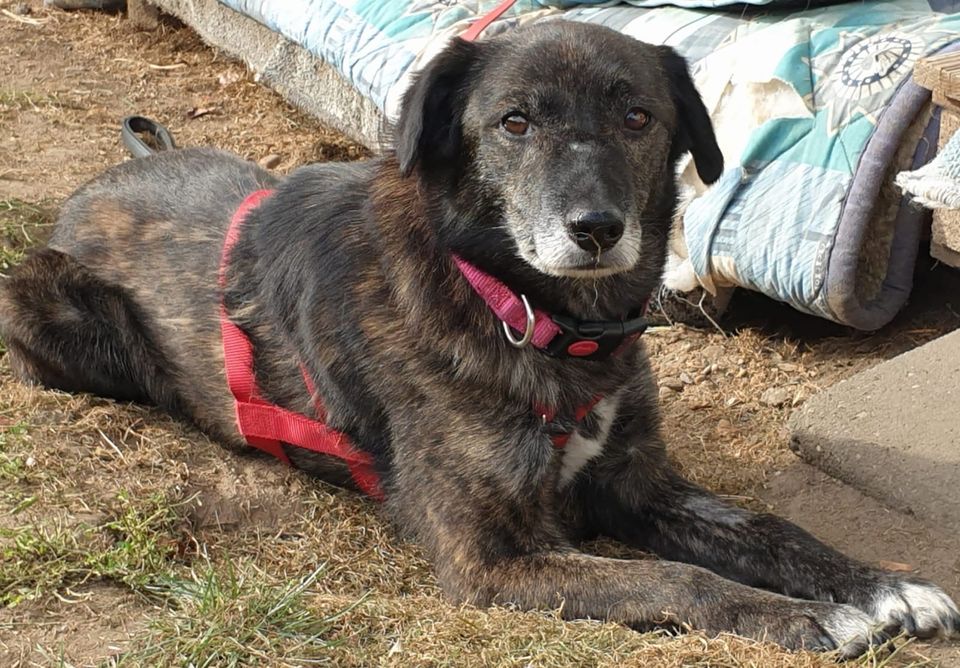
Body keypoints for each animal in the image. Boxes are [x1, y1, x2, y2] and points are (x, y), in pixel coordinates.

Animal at [1, 20, 960, 656]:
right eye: (515, 122)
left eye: (638, 117)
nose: (597, 229)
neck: (536, 319)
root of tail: (115, 173)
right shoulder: (490, 560)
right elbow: (673, 578)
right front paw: (810, 617)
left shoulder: (638, 484)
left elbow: (771, 530)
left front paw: (884, 586)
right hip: (40, 301)